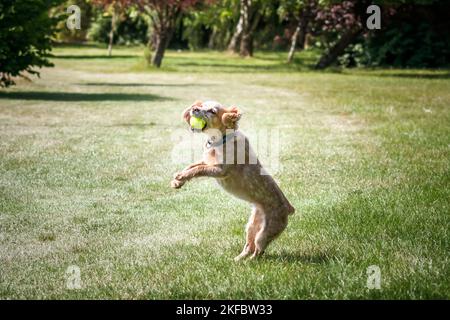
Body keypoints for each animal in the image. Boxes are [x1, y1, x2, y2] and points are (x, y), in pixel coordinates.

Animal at [171, 100, 294, 260]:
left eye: (212, 111)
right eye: (202, 105)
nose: (194, 108)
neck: (218, 140)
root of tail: (289, 208)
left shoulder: (220, 170)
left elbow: (198, 169)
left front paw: (181, 177)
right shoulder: (208, 162)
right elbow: (192, 166)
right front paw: (177, 180)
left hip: (265, 232)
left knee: (259, 250)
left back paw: (250, 262)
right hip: (251, 226)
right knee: (249, 246)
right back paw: (238, 259)